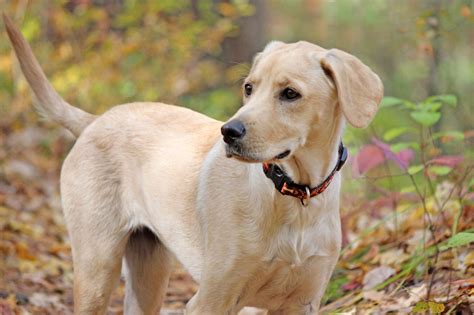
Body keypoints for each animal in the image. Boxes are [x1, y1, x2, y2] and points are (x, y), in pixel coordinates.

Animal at [3, 13, 384, 314]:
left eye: (290, 93)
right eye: (249, 88)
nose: (229, 131)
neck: (295, 196)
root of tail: (95, 120)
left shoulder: (302, 302)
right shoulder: (211, 299)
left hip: (149, 272)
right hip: (96, 265)